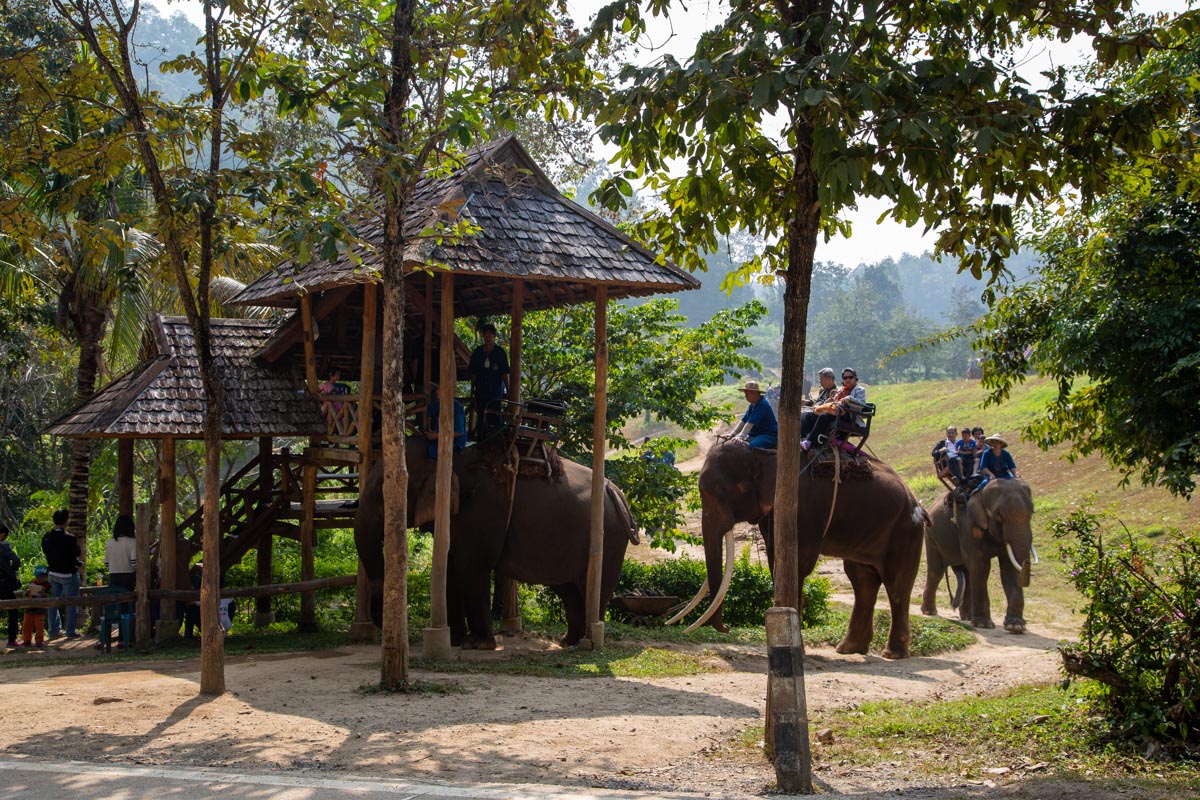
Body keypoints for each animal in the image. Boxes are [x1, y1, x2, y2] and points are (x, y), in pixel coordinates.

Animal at [354, 437, 638, 648]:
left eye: (385, 488)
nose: (380, 617)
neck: (448, 457)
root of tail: (616, 492)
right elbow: (450, 568)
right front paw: (455, 640)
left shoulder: (481, 511)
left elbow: (471, 567)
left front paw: (477, 645)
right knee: (568, 590)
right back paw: (568, 641)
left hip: (608, 540)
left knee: (591, 588)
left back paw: (589, 641)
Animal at [686, 438, 928, 659]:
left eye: (722, 489)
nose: (727, 628)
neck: (764, 453)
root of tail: (915, 499)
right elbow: (775, 560)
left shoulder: (804, 509)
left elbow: (799, 563)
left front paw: (798, 650)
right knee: (861, 580)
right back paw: (848, 649)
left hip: (905, 528)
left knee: (896, 582)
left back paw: (893, 653)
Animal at [920, 478, 1036, 633]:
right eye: (999, 514)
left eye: (1032, 512)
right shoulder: (970, 526)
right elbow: (981, 567)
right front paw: (983, 625)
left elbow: (1009, 570)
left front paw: (1015, 627)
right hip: (930, 534)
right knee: (936, 571)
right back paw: (929, 612)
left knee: (967, 574)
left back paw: (967, 617)